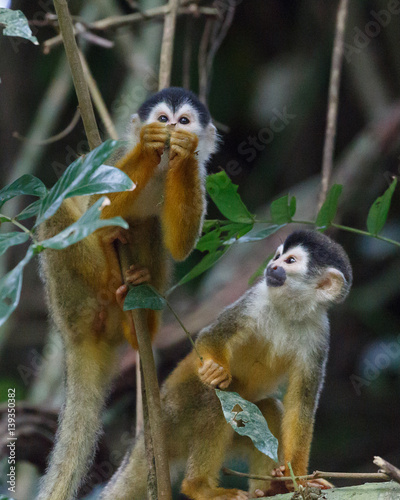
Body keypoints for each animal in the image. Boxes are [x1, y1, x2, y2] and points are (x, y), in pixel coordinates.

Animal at [37, 88, 217, 500]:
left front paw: (183, 150)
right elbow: (95, 206)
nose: (171, 130)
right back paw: (107, 269)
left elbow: (180, 245)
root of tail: (73, 336)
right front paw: (150, 144)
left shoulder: (199, 177)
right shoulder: (115, 158)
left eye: (184, 122)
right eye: (163, 119)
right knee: (58, 213)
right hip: (66, 297)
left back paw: (137, 320)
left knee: (147, 226)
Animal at [101, 230, 354, 500]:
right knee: (216, 397)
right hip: (177, 411)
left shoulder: (319, 333)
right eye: (278, 255)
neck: (290, 309)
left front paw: (297, 479)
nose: (272, 266)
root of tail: (153, 424)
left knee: (268, 409)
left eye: (291, 261)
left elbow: (300, 407)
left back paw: (269, 488)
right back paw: (199, 486)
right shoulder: (255, 299)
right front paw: (215, 370)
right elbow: (212, 336)